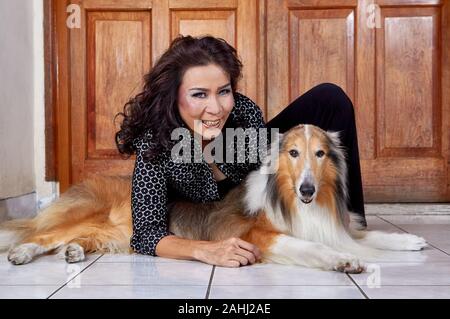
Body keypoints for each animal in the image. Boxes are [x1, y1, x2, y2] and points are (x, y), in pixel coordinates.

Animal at [0, 124, 428, 272]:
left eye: (320, 154)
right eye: (293, 153)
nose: (307, 189)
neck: (294, 201)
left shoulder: (332, 226)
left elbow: (368, 235)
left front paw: (410, 240)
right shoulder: (259, 236)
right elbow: (313, 247)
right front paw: (343, 261)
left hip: (121, 235)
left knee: (74, 241)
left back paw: (73, 252)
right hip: (91, 214)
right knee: (40, 236)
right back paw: (23, 253)